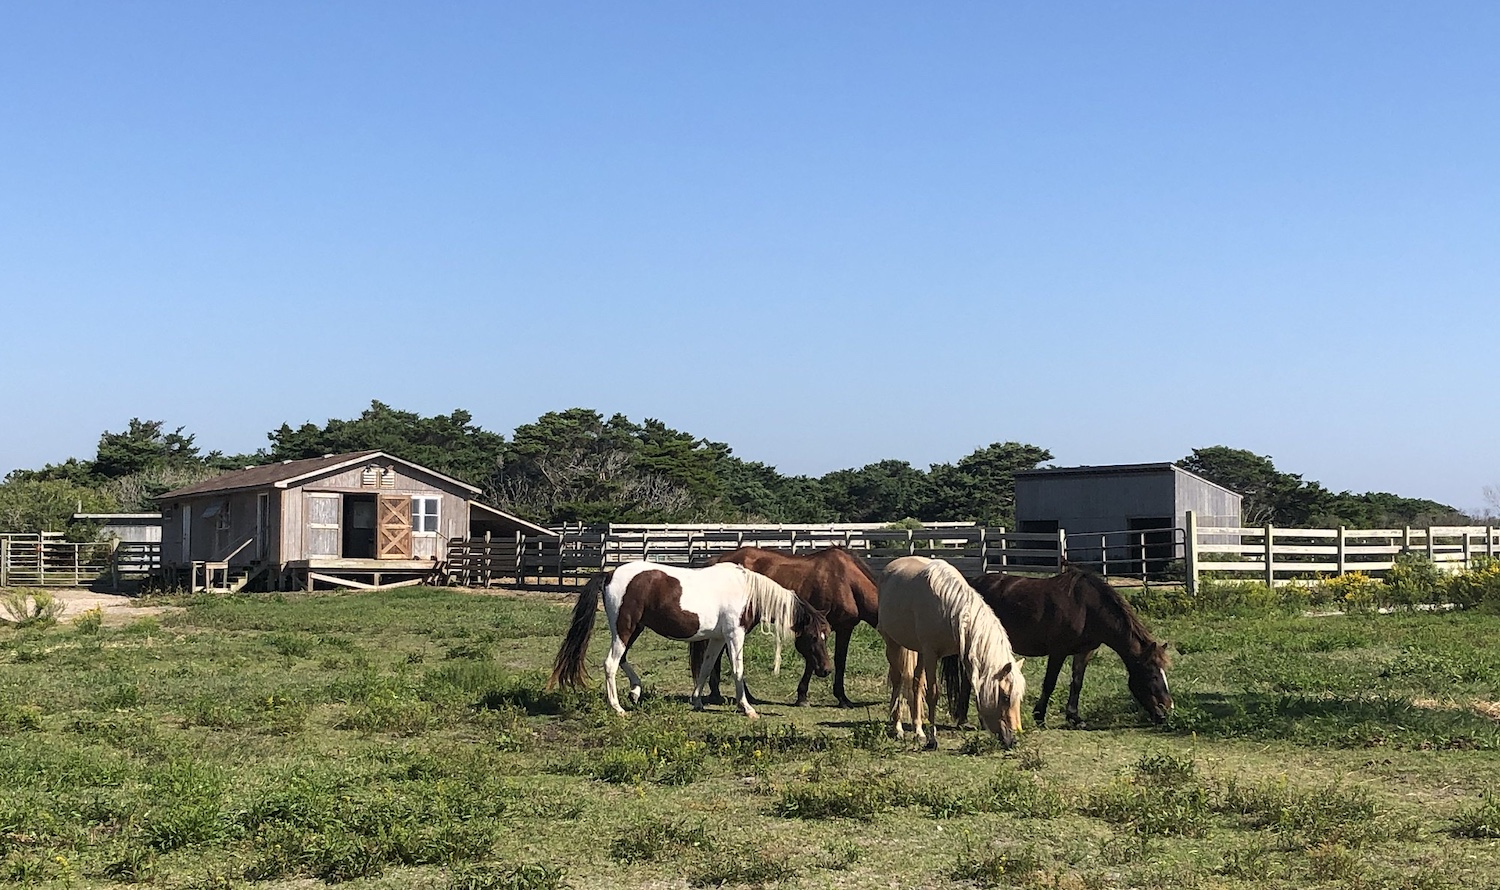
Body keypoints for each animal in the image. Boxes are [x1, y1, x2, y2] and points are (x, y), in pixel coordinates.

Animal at [552, 558, 834, 717]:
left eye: (826, 634)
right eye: (813, 637)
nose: (826, 670)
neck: (748, 591)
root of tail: (609, 574)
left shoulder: (718, 638)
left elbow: (706, 668)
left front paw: (697, 701)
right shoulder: (735, 635)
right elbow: (737, 670)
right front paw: (747, 708)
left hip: (631, 630)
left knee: (621, 660)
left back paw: (635, 691)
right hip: (625, 628)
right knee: (611, 663)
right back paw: (617, 707)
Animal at [690, 546, 876, 705]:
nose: (825, 671)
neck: (847, 581)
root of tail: (718, 559)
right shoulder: (837, 628)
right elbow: (834, 660)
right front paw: (838, 698)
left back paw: (717, 693)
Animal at [876, 558, 1026, 747]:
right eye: (1005, 697)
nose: (1014, 740)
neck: (950, 609)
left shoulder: (965, 655)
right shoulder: (931, 654)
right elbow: (933, 694)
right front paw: (932, 739)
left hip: (919, 652)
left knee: (916, 684)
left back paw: (918, 731)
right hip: (893, 644)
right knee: (898, 680)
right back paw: (898, 728)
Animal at [948, 564, 1170, 726]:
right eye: (1152, 675)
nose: (1166, 711)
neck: (1088, 608)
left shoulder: (1085, 652)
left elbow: (1077, 682)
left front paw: (1074, 717)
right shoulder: (1058, 651)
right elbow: (1050, 682)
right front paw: (1039, 716)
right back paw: (964, 719)